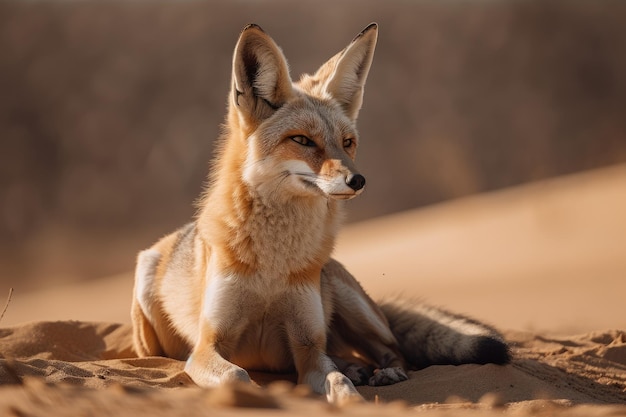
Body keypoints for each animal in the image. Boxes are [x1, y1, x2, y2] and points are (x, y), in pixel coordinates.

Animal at [130, 22, 508, 404]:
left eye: (347, 143)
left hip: (352, 305)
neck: (272, 268)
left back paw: (384, 371)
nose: (358, 180)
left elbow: (339, 383)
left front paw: (354, 402)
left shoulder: (308, 346)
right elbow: (238, 375)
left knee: (392, 350)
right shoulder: (208, 345)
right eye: (302, 140)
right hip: (146, 294)